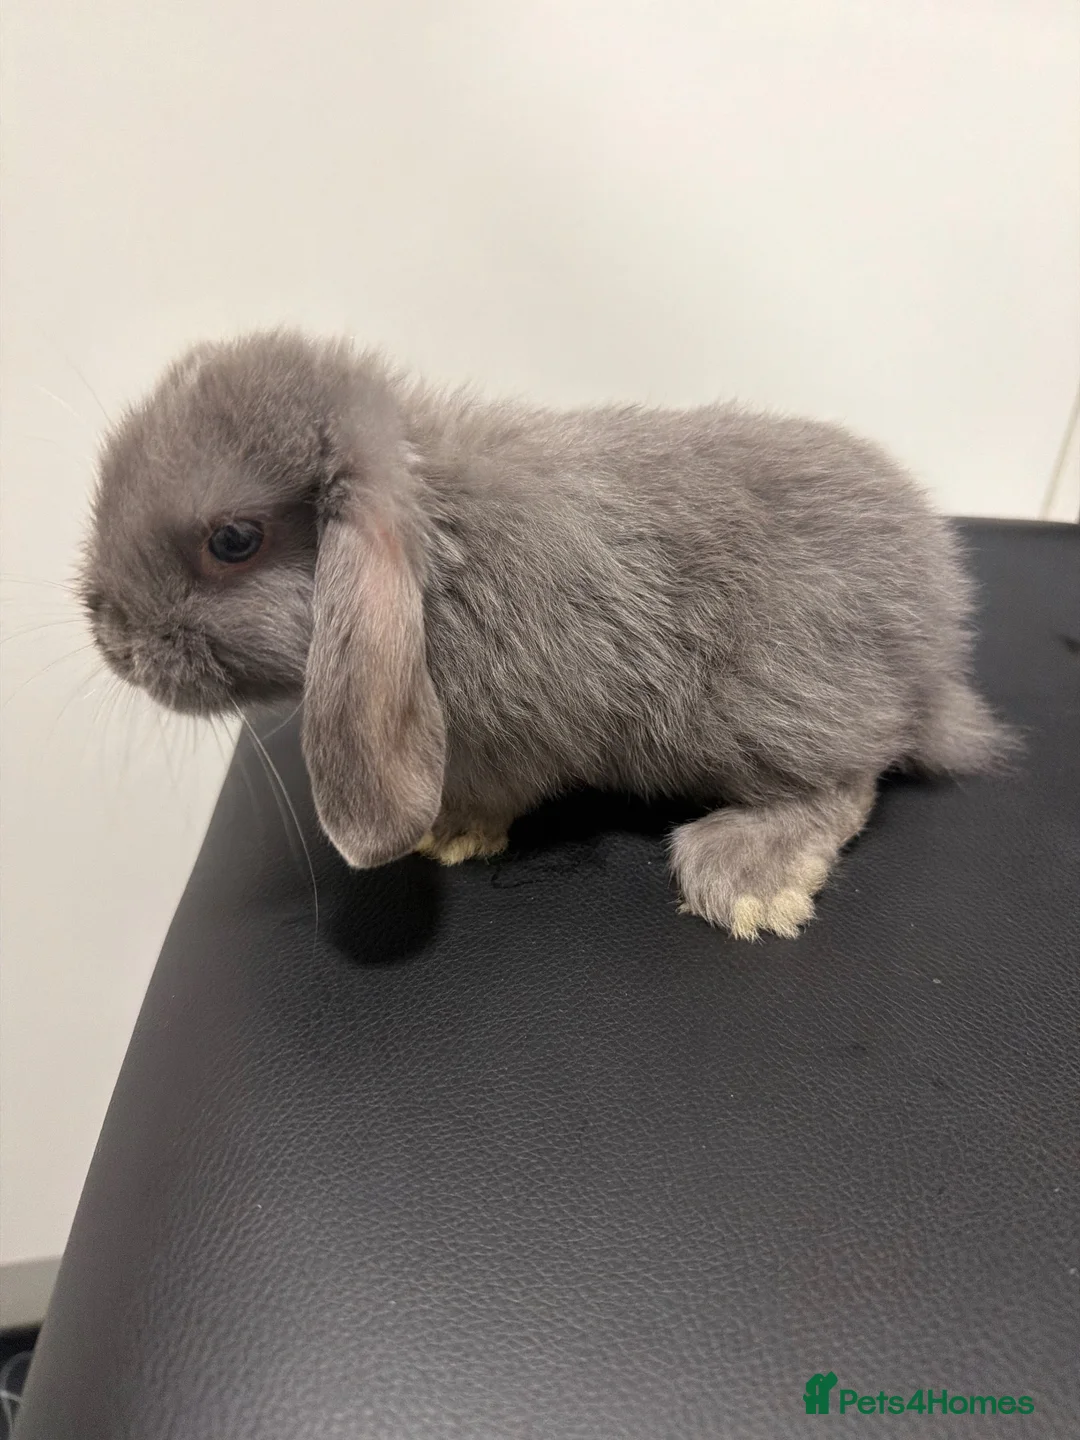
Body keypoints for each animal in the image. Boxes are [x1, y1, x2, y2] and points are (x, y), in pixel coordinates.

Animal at [81, 329, 1014, 938]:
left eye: (234, 541)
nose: (109, 636)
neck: (438, 550)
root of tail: (936, 648)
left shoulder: (516, 732)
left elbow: (502, 788)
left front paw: (450, 832)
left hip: (771, 707)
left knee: (850, 782)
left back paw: (747, 877)